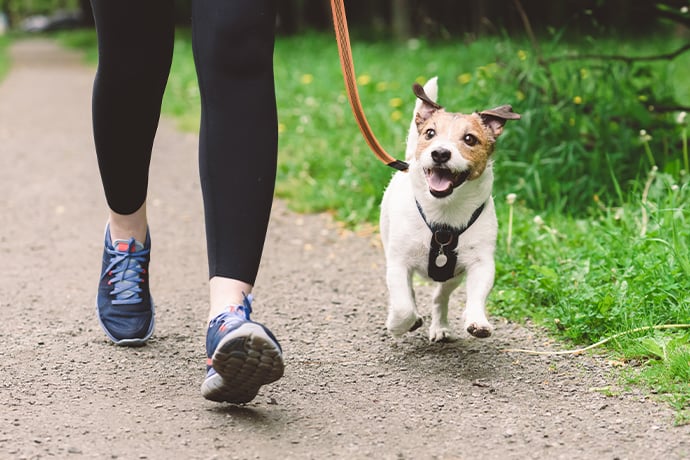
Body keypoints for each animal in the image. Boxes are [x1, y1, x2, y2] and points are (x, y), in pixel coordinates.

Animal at [378, 78, 520, 342]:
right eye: (430, 134)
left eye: (470, 139)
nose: (440, 153)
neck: (444, 214)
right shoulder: (398, 262)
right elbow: (403, 305)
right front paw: (397, 324)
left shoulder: (481, 263)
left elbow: (477, 295)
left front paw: (477, 321)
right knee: (409, 294)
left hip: (452, 276)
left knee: (439, 297)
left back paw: (440, 326)